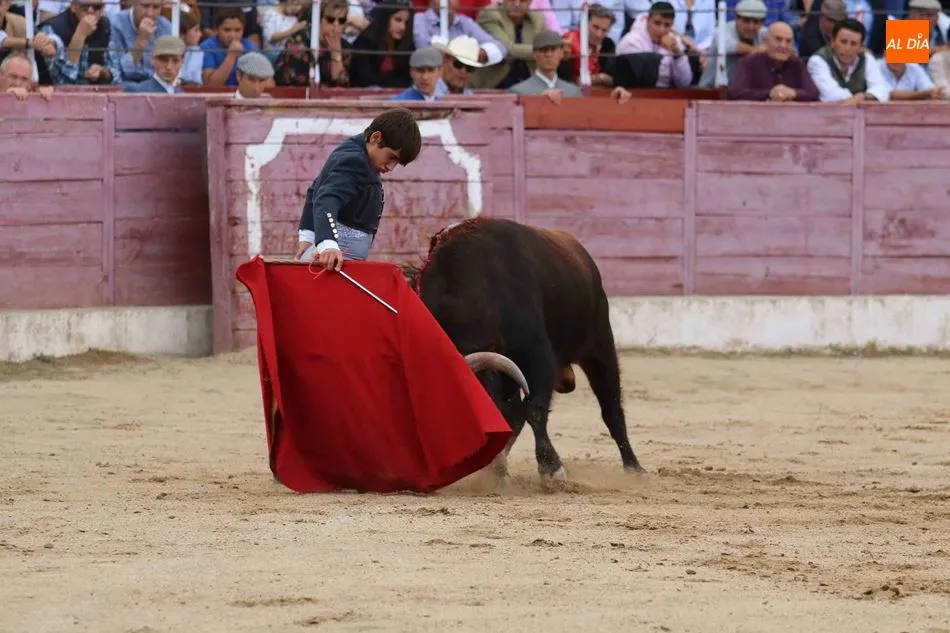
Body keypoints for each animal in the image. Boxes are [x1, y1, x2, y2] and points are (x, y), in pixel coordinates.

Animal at [404, 217, 646, 482]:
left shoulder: (537, 356)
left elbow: (534, 409)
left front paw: (551, 469)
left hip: (599, 347)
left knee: (611, 406)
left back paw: (634, 467)